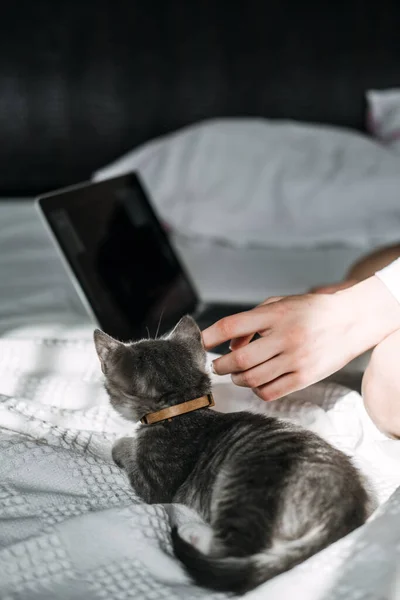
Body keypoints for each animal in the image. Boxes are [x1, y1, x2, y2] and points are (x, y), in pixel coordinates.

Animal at [94, 316, 368, 592]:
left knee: (234, 553)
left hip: (247, 486)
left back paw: (193, 532)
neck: (181, 410)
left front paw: (121, 443)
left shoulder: (155, 481)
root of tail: (345, 508)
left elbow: (131, 458)